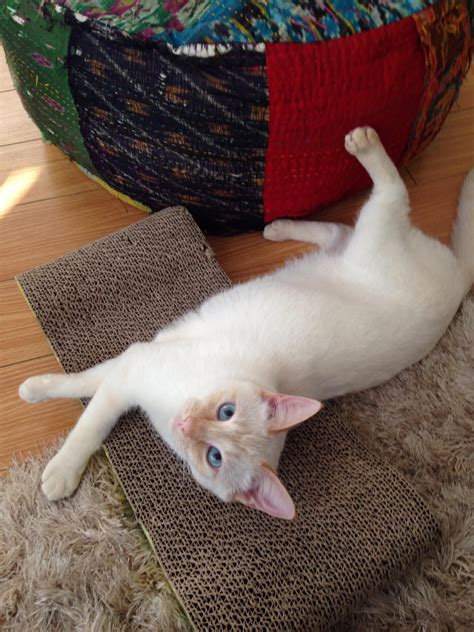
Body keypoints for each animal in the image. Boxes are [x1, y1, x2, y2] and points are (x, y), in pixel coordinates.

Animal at [19, 127, 474, 520]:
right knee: (364, 207)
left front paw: (60, 471)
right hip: (360, 240)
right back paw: (287, 216)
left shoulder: (135, 370)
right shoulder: (137, 362)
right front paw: (36, 392)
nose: (187, 425)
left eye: (214, 457)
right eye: (227, 411)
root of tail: (458, 278)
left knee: (385, 196)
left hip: (371, 235)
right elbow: (83, 390)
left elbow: (91, 415)